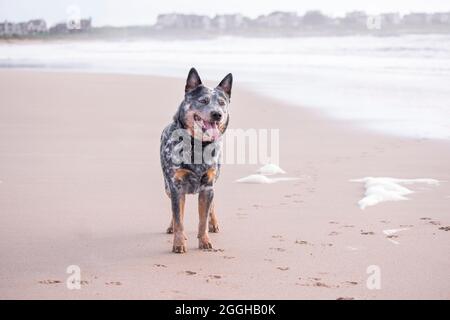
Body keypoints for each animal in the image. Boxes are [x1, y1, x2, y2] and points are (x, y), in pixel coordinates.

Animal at [160, 67, 234, 252]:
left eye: (222, 103)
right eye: (203, 100)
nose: (217, 114)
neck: (198, 145)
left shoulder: (208, 186)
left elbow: (203, 220)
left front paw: (205, 241)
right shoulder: (176, 185)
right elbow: (178, 217)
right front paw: (179, 243)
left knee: (211, 206)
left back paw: (213, 224)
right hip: (167, 186)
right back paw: (172, 228)